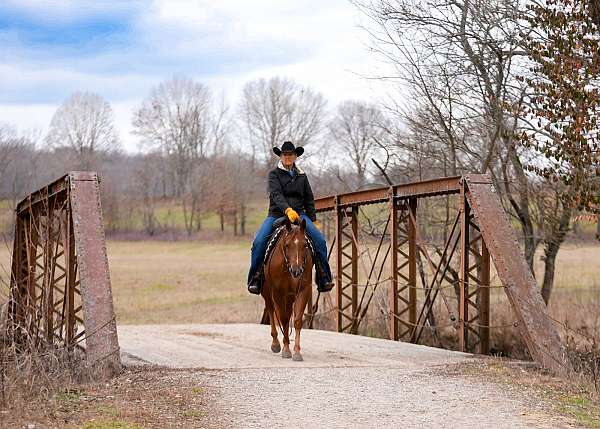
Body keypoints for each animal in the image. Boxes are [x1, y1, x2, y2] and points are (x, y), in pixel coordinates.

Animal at [262, 217, 314, 362]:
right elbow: (284, 318)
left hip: (289, 296)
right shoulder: (277, 292)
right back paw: (275, 343)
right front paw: (285, 349)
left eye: (305, 245)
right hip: (267, 292)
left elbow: (296, 320)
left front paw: (296, 352)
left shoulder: (303, 290)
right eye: (287, 245)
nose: (297, 271)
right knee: (271, 309)